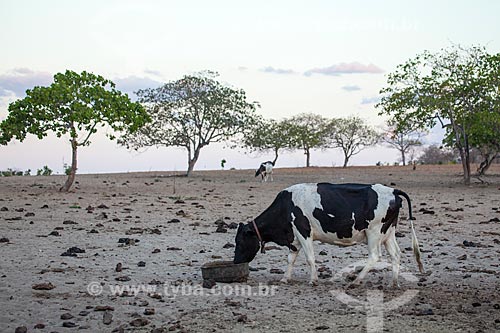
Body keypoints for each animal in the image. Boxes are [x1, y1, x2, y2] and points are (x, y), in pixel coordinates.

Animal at [233, 182, 422, 286]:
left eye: (240, 242)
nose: (235, 262)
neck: (285, 206)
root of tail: (393, 191)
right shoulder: (294, 237)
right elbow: (291, 258)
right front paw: (285, 279)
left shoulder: (303, 231)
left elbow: (310, 258)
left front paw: (313, 280)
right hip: (388, 233)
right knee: (396, 254)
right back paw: (393, 282)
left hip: (374, 232)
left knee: (375, 256)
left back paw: (356, 281)